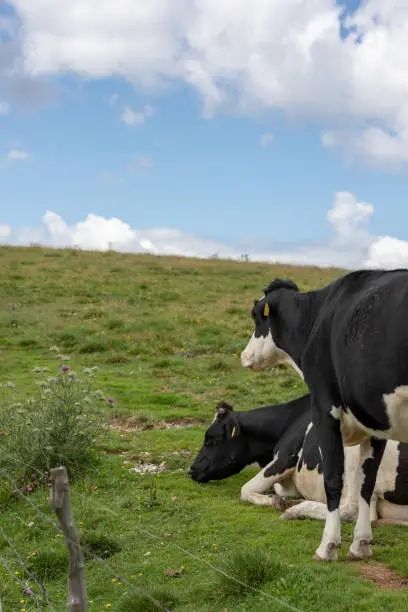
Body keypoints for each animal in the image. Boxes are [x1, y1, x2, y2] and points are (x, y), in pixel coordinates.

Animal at [190, 396, 408, 524]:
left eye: (211, 440)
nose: (191, 470)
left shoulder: (285, 457)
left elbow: (246, 489)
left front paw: (272, 500)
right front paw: (280, 497)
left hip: (356, 456)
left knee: (355, 511)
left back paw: (295, 510)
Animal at [241, 272, 408, 564]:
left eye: (255, 315)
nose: (244, 356)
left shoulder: (325, 412)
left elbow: (333, 480)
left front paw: (328, 546)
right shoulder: (375, 425)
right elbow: (366, 483)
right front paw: (360, 545)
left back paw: (295, 509)